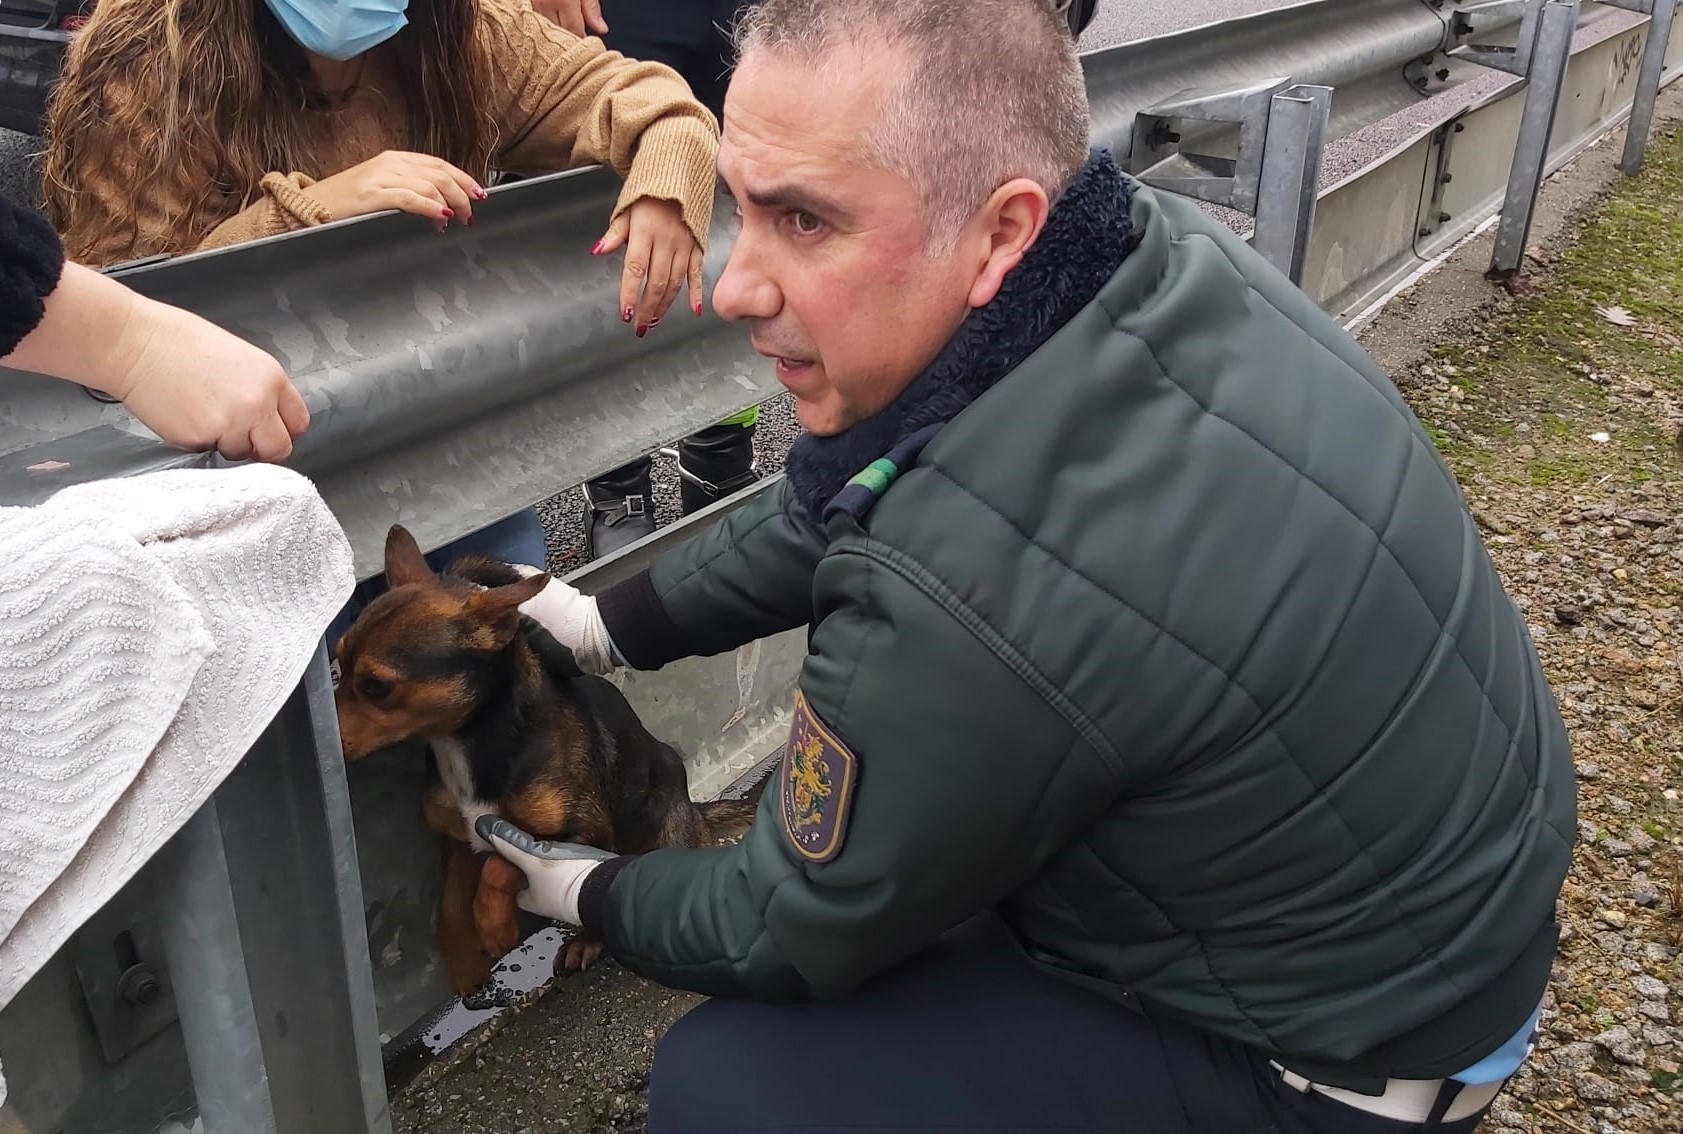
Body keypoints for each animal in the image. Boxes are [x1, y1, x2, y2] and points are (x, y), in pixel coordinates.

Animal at [333, 524, 764, 996]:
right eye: (336, 661)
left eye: (376, 686)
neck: (470, 740)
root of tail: (694, 812)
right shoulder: (455, 837)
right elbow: (450, 903)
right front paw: (464, 961)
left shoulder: (581, 831)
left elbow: (503, 864)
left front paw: (494, 926)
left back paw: (586, 941)